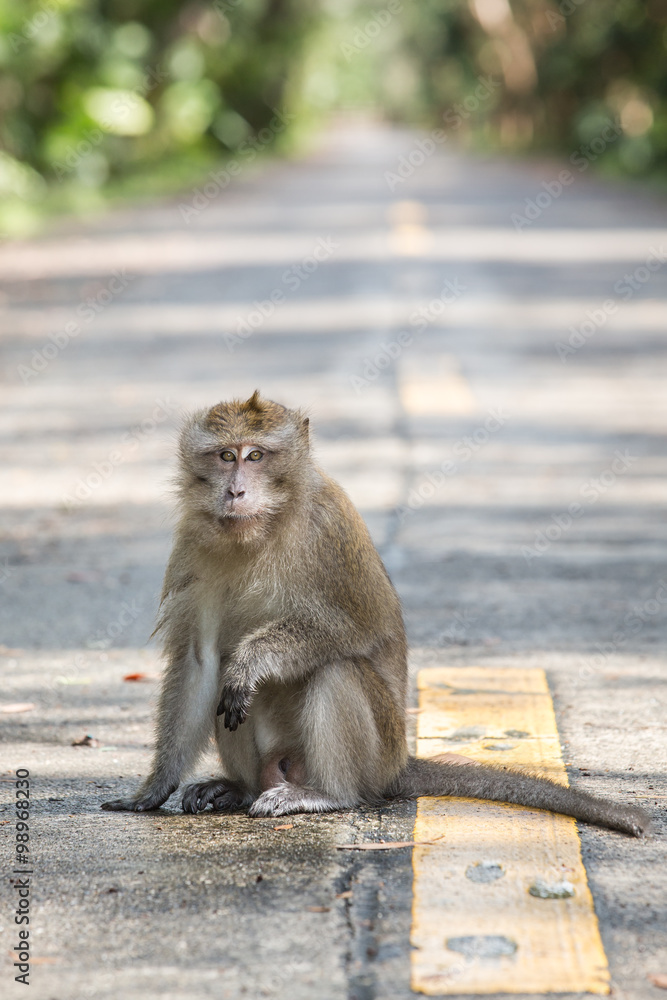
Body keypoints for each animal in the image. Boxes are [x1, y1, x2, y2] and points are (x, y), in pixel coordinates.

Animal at [102, 391, 650, 837]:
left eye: (256, 456)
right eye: (225, 456)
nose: (235, 491)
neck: (261, 528)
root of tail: (398, 765)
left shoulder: (329, 528)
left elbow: (355, 629)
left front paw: (253, 660)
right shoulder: (193, 543)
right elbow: (199, 661)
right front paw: (153, 789)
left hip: (375, 753)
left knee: (335, 670)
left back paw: (326, 794)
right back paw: (239, 789)